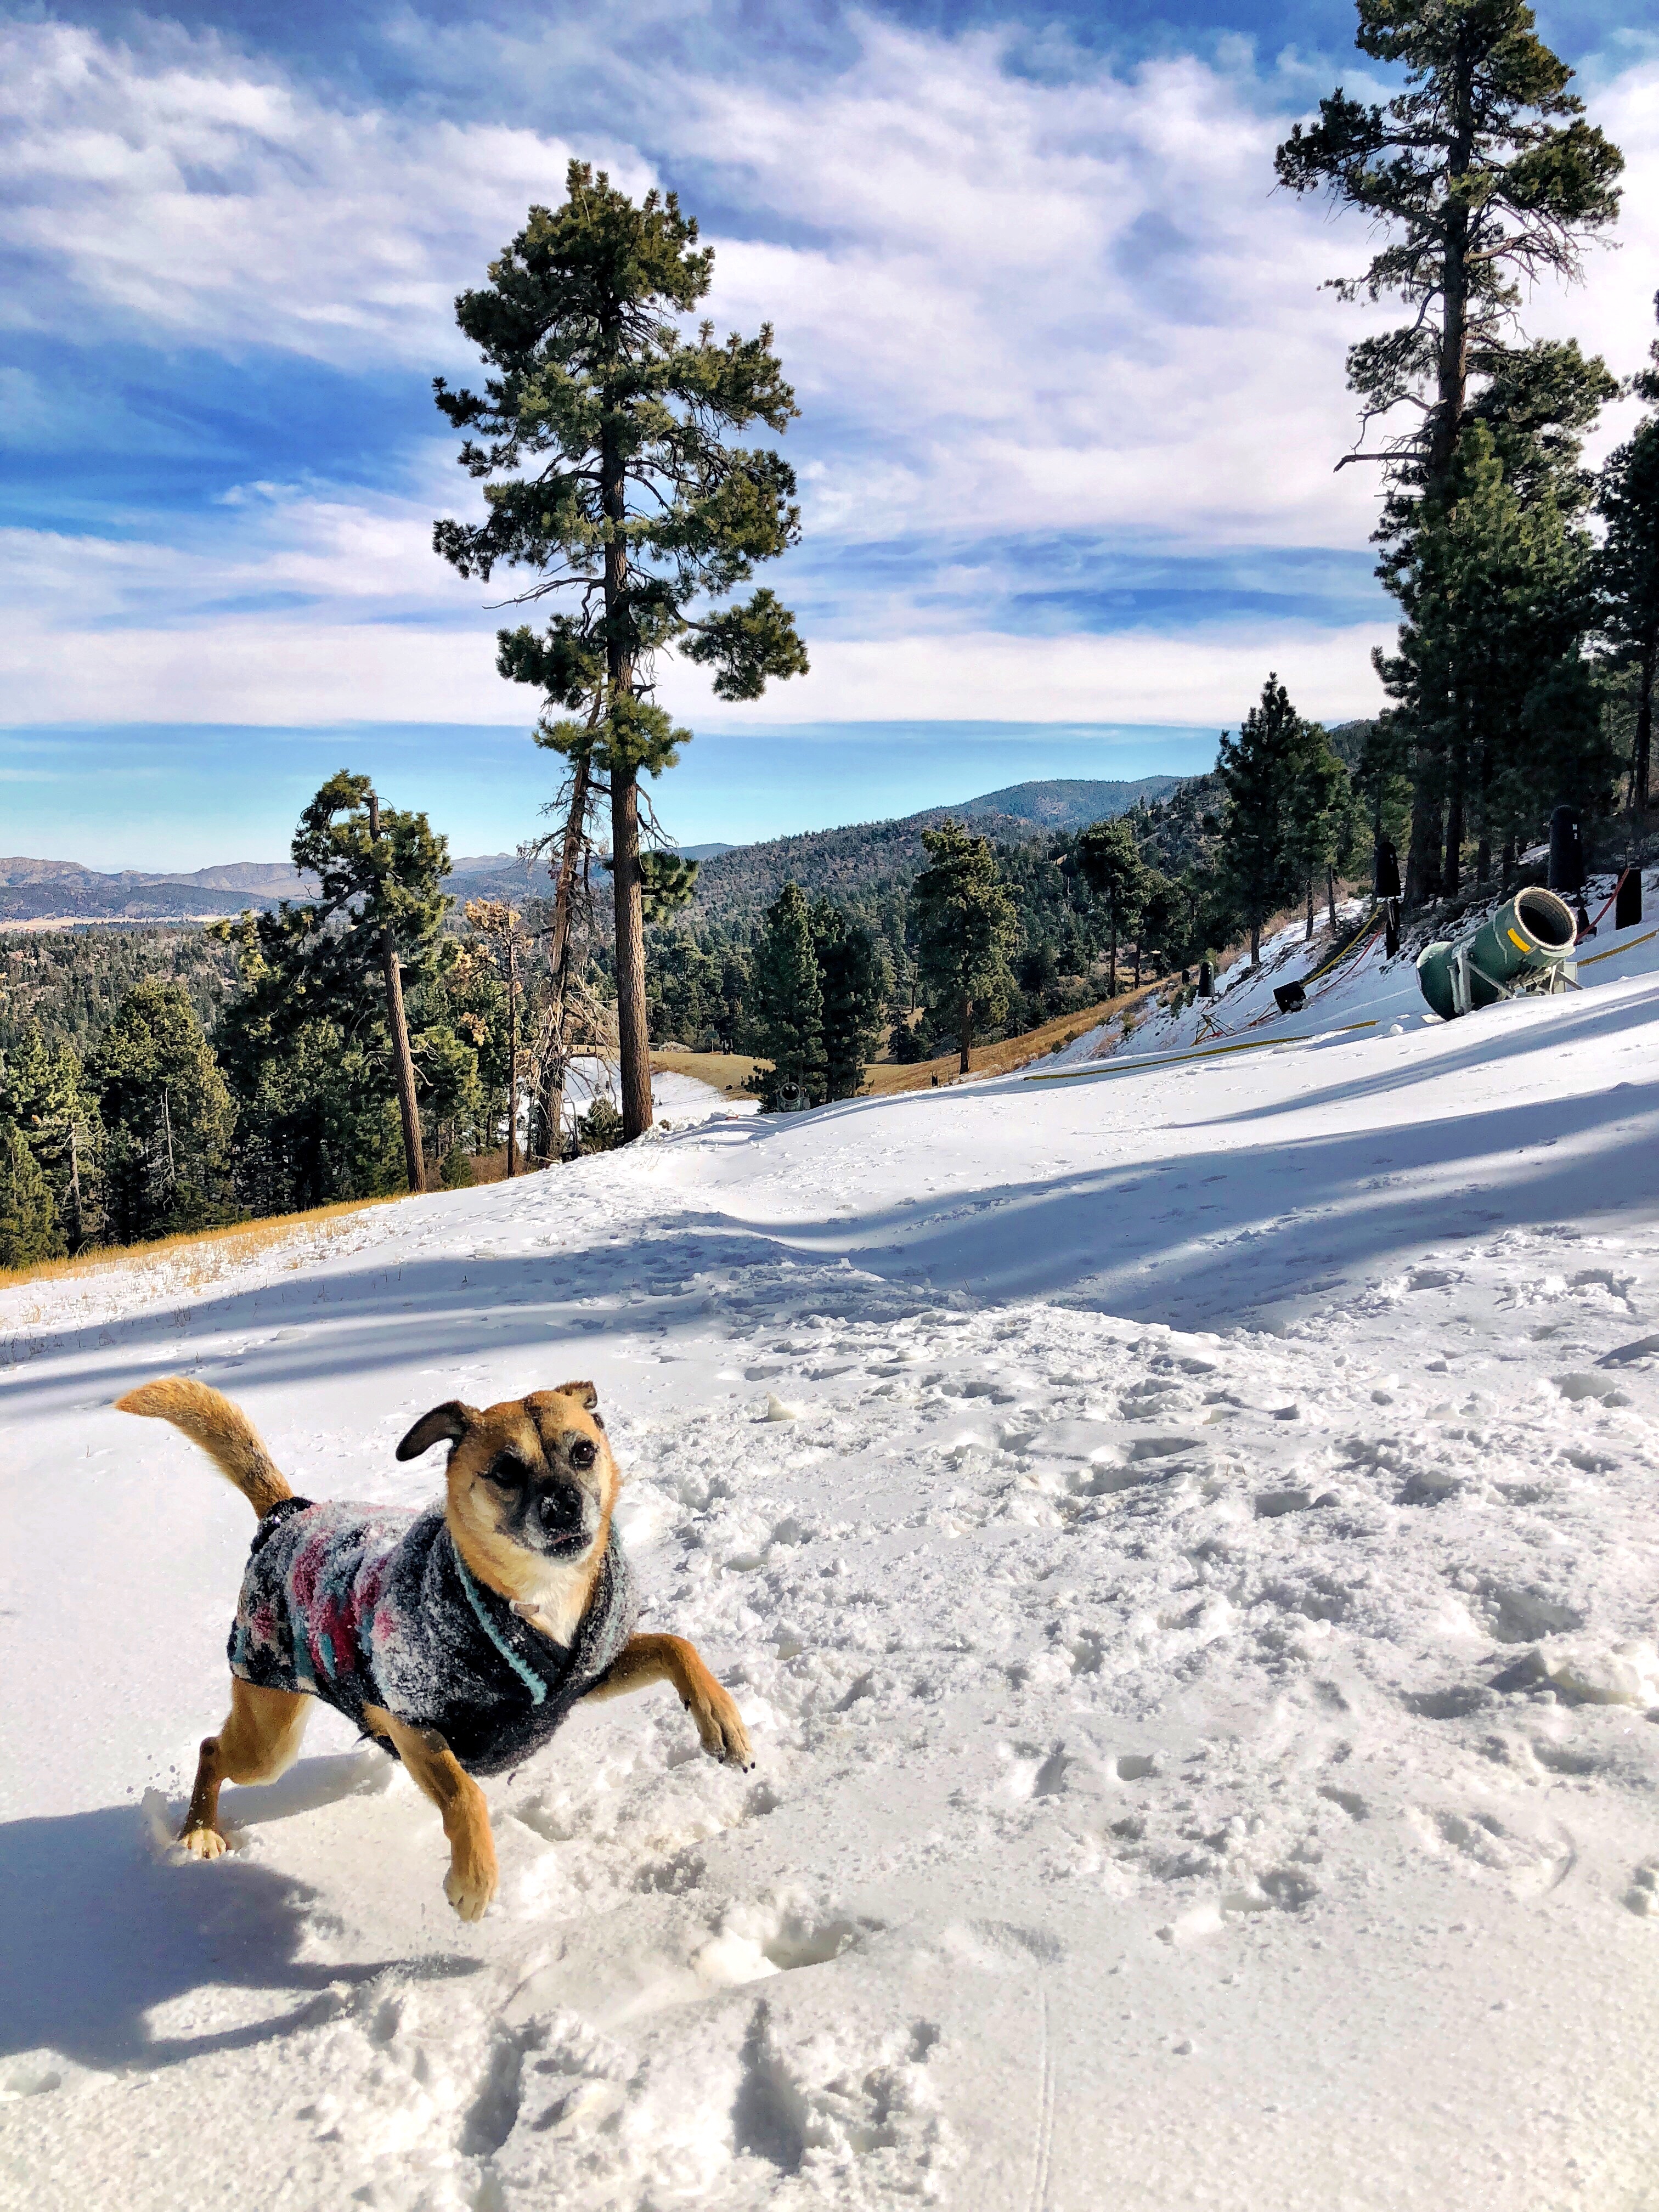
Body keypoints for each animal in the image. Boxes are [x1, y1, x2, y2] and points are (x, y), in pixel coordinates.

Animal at [120, 1380, 756, 1920]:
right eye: (506, 1470)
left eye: (583, 1451)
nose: (564, 1506)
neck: (533, 1597)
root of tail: (288, 1515)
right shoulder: (411, 1720)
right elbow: (463, 1792)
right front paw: (472, 1881)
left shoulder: (584, 1674)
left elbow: (676, 1644)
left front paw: (724, 1725)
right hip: (269, 1735)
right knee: (212, 1750)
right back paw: (197, 1831)